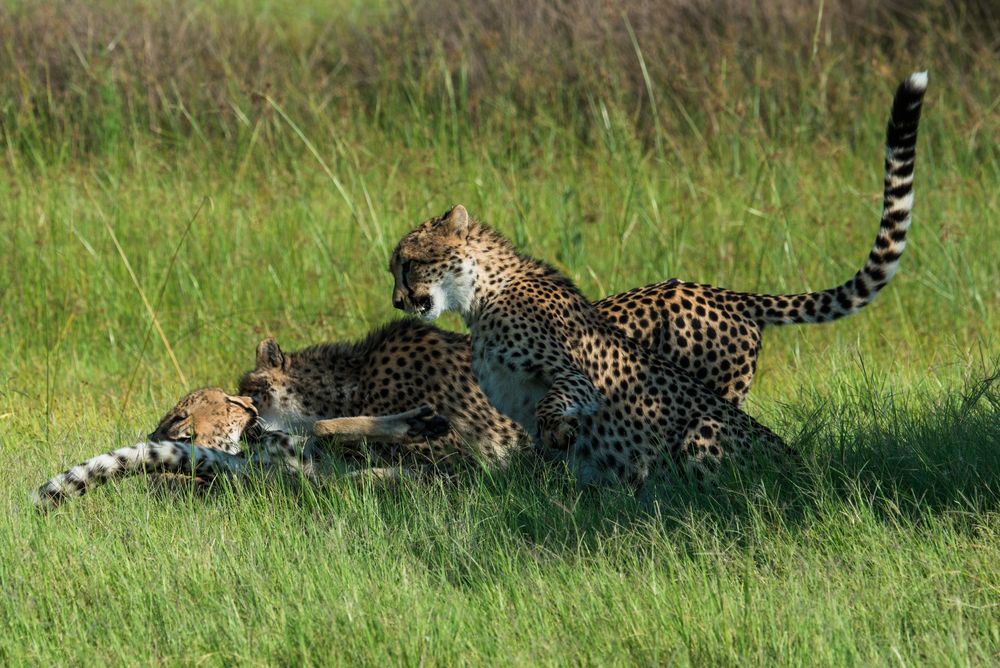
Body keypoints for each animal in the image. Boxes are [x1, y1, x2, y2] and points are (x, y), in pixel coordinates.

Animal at [388, 73, 928, 482]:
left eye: (408, 262)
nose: (396, 301)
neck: (481, 294)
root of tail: (726, 294)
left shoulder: (575, 379)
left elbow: (555, 407)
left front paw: (564, 441)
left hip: (707, 423)